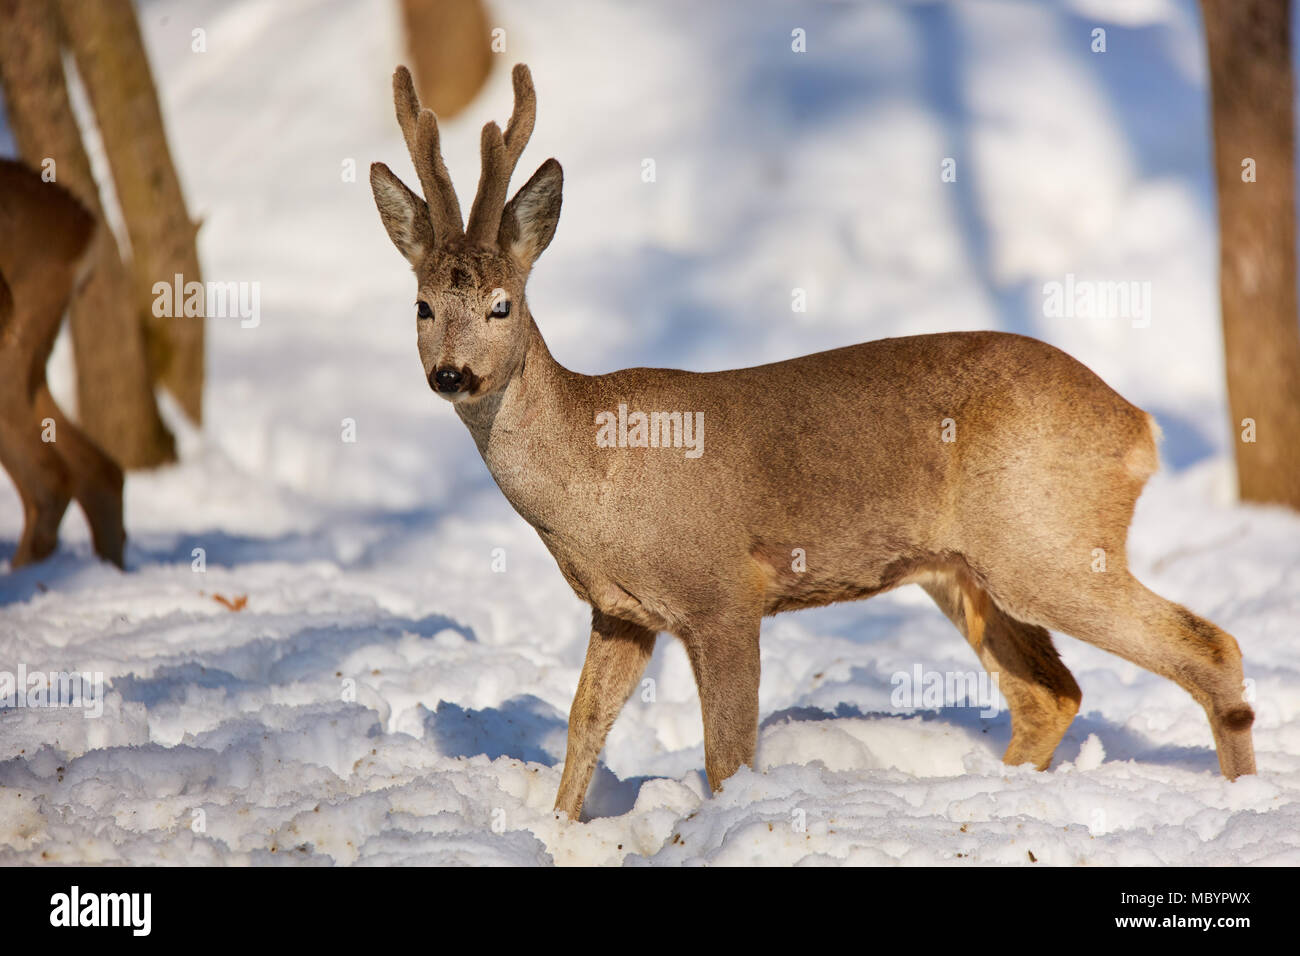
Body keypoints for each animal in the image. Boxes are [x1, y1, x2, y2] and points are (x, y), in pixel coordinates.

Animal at [369, 64, 1257, 820]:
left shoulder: (723, 591)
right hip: (968, 565)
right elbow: (582, 726)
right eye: (421, 305)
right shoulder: (621, 612)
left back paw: (1242, 800)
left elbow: (727, 755)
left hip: (1049, 537)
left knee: (1207, 646)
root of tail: (1138, 425)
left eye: (501, 303)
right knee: (1051, 693)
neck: (595, 479)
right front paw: (558, 832)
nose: (451, 374)